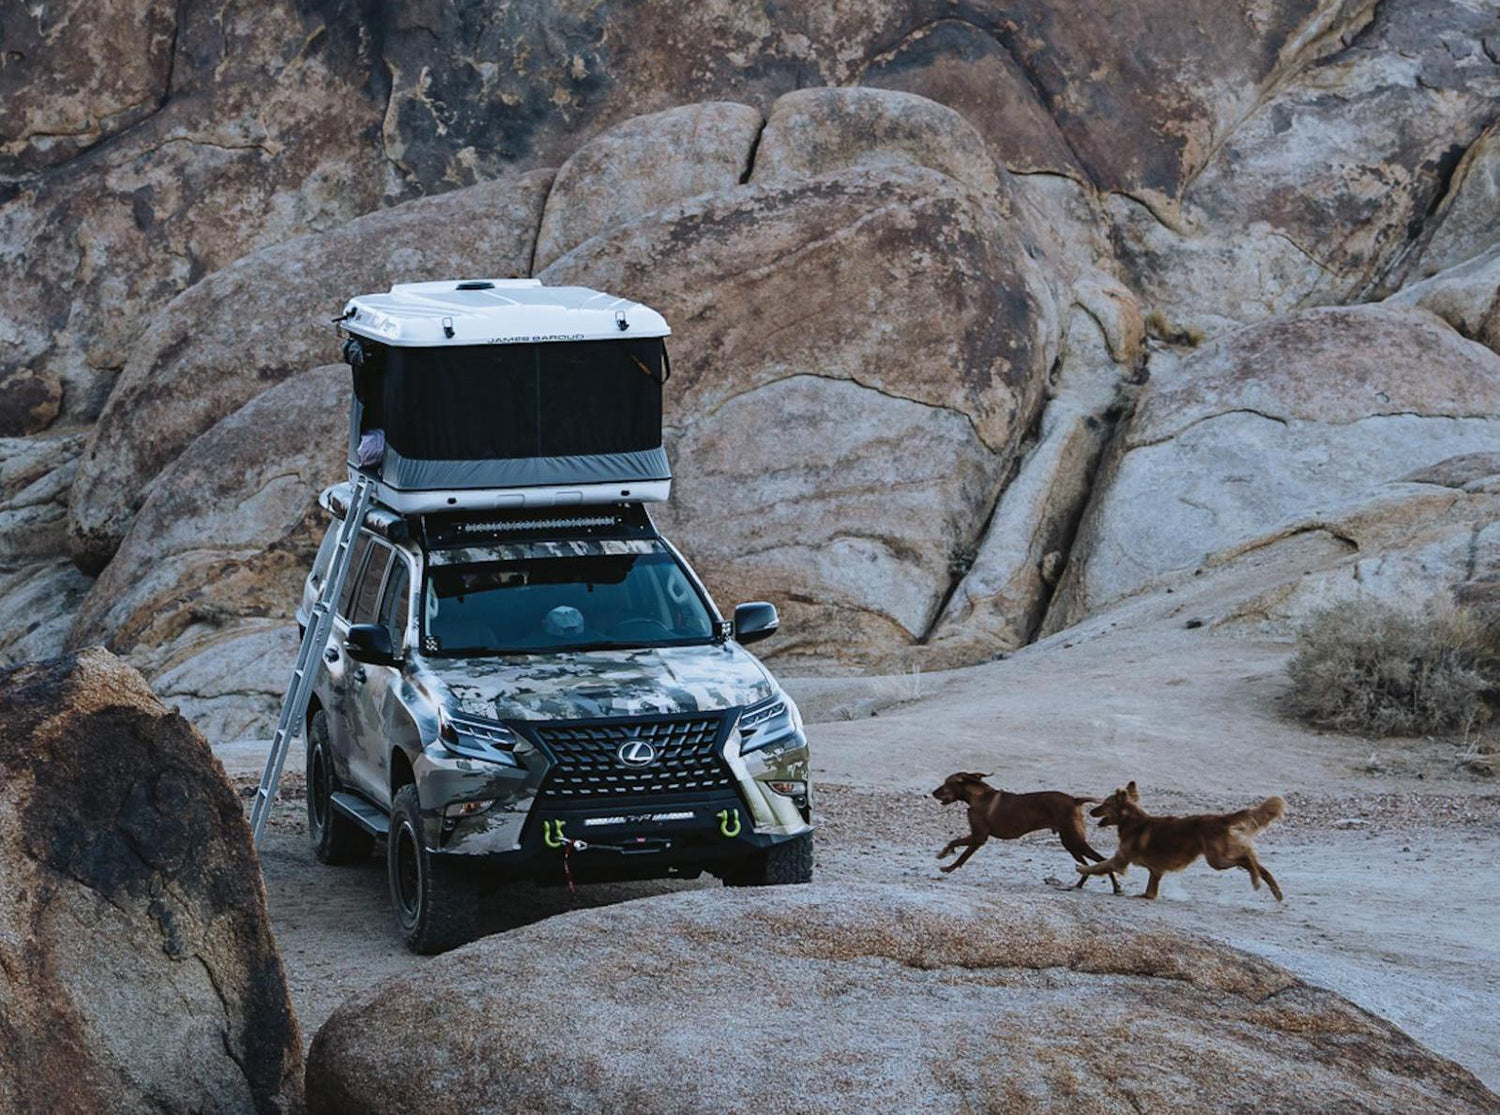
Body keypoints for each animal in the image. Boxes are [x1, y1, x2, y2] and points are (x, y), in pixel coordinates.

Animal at [930, 774, 1122, 894]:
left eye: (946, 783)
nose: (932, 792)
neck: (977, 796)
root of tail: (1075, 800)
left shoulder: (979, 836)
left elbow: (955, 844)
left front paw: (944, 856)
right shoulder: (978, 839)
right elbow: (962, 856)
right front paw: (948, 864)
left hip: (1073, 841)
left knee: (1102, 860)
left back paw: (1115, 887)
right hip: (1070, 843)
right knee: (1087, 866)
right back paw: (1081, 885)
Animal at [1074, 780, 1284, 900]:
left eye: (1105, 804)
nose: (1091, 811)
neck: (1132, 821)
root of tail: (1220, 819)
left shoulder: (1121, 859)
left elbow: (1100, 866)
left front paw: (1081, 868)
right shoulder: (1155, 870)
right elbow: (1151, 890)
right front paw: (1146, 896)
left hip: (1217, 860)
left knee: (1247, 857)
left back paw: (1257, 882)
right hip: (1222, 855)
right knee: (1256, 861)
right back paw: (1275, 890)